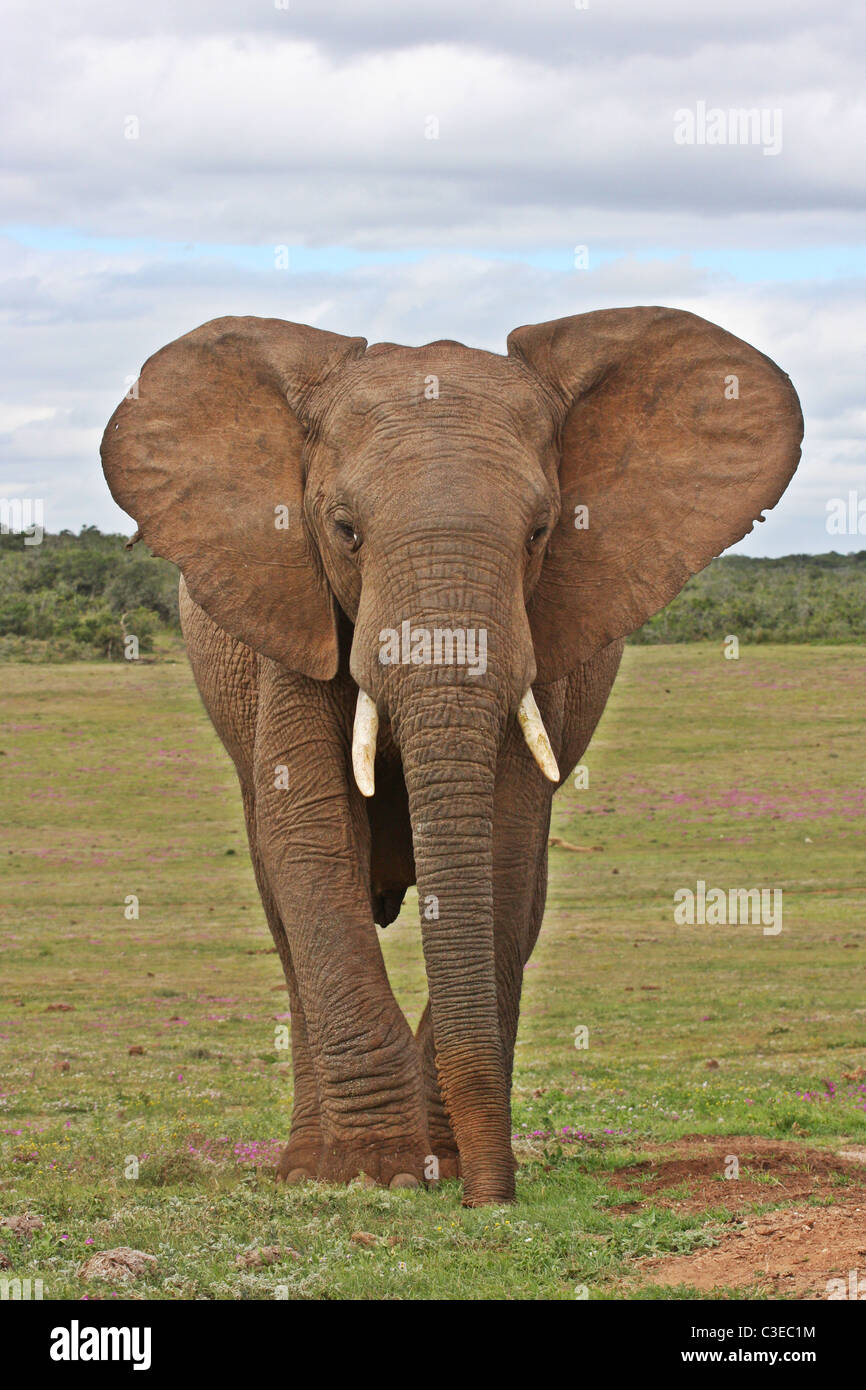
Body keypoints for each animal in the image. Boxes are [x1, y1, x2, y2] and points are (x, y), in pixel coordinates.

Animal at [101, 307, 802, 1206]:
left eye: (540, 533)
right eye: (345, 532)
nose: (493, 1200)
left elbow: (504, 846)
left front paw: (440, 1165)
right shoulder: (290, 611)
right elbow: (311, 837)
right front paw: (380, 1174)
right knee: (283, 908)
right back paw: (305, 1168)